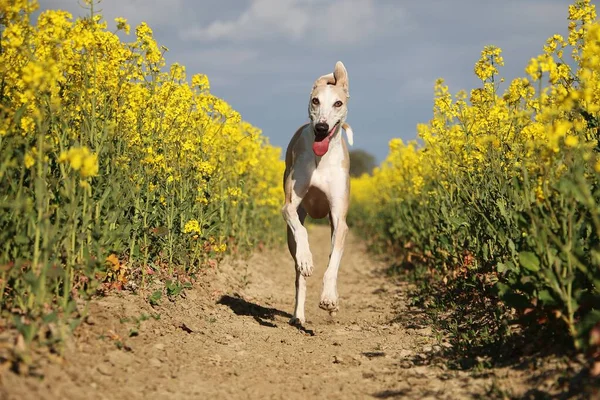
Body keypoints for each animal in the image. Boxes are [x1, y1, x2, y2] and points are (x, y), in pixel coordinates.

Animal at [280, 61, 352, 324]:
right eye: (315, 100)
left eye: (338, 103)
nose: (321, 127)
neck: (321, 160)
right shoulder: (290, 207)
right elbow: (301, 230)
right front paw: (306, 259)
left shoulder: (340, 220)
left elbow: (333, 262)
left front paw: (329, 298)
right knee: (299, 277)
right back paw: (298, 315)